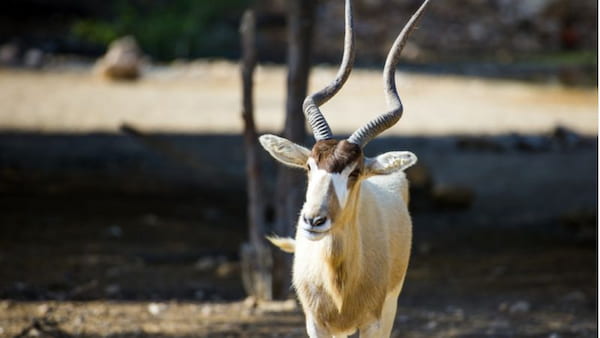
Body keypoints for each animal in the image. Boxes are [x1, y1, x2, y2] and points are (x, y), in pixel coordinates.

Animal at [260, 1, 428, 336]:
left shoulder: (373, 322)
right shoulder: (315, 324)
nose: (313, 220)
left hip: (388, 309)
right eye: (309, 167)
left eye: (354, 172)